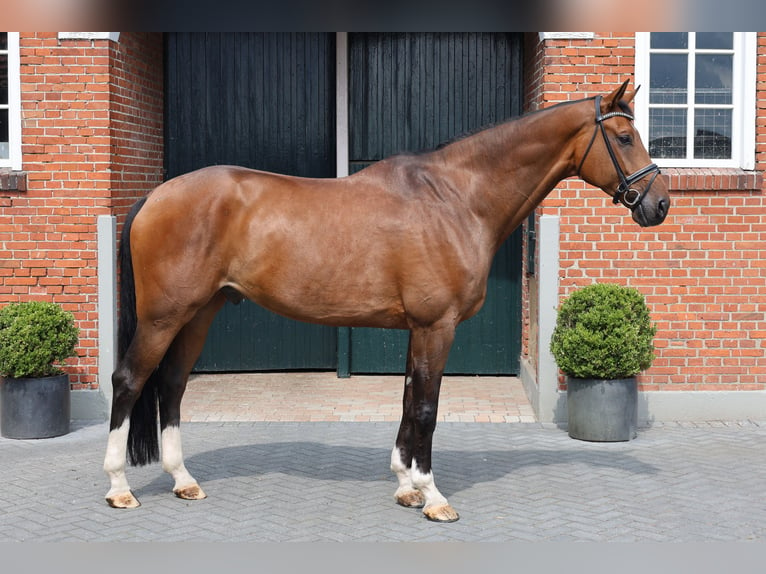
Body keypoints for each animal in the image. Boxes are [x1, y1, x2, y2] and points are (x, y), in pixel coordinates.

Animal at [103, 82, 672, 528]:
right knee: (130, 380)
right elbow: (426, 408)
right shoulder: (436, 326)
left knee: (172, 385)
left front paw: (405, 485)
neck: (455, 199)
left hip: (200, 313)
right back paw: (118, 488)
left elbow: (405, 400)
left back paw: (183, 480)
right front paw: (434, 496)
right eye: (624, 137)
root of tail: (155, 196)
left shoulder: (417, 329)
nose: (659, 203)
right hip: (164, 316)